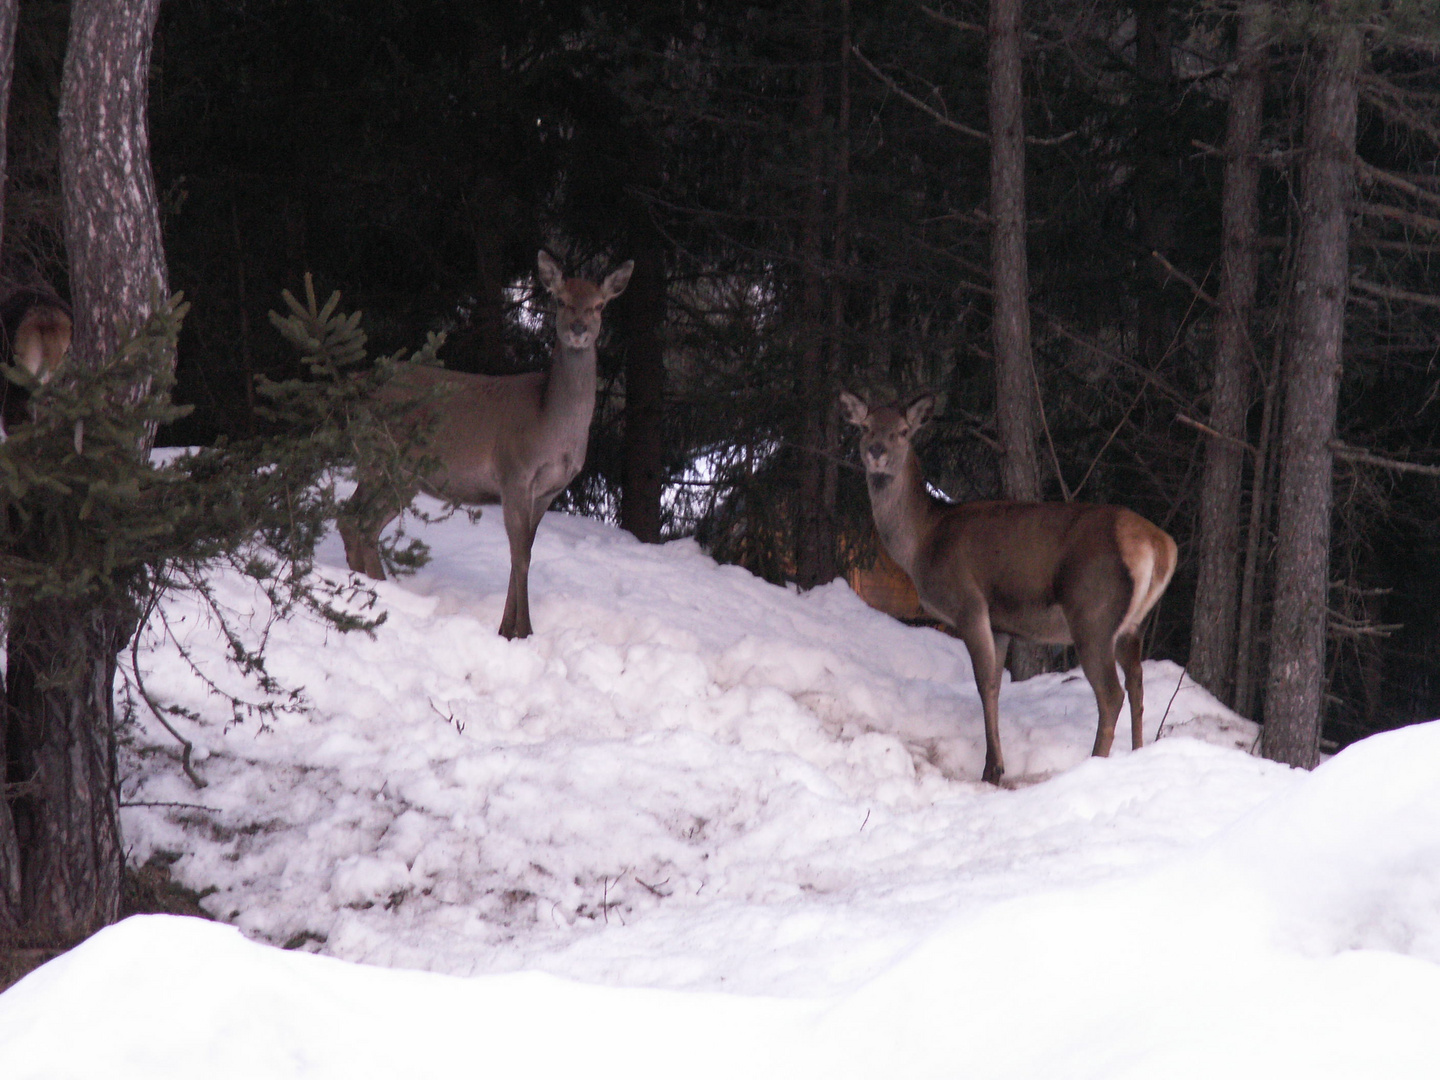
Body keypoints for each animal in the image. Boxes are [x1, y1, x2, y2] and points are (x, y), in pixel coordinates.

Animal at [339, 252, 633, 642]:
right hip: (382, 459)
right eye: (560, 299)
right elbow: (520, 555)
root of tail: (356, 387)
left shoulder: (549, 491)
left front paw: (506, 629)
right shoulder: (515, 472)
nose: (579, 328)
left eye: (600, 305)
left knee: (362, 522)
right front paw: (523, 631)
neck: (550, 425)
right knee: (355, 518)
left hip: (399, 474)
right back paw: (372, 590)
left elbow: (524, 552)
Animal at [840, 391, 1175, 789]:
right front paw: (993, 765)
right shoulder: (1000, 624)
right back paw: (1139, 754)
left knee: (1112, 693)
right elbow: (995, 687)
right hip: (1131, 625)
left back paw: (1093, 764)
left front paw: (993, 770)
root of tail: (1158, 545)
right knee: (1137, 683)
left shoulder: (969, 603)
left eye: (904, 431)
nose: (876, 450)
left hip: (1092, 613)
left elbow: (983, 683)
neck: (923, 541)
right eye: (865, 427)